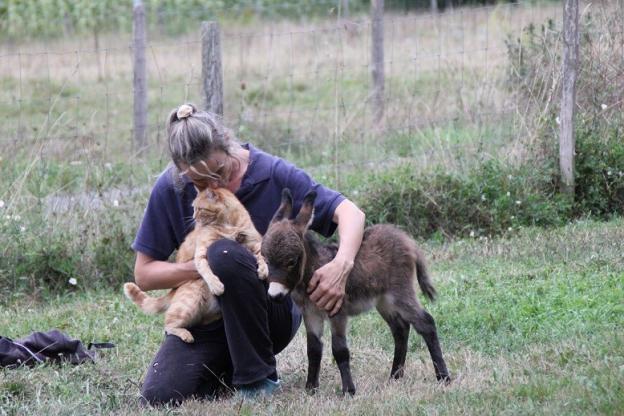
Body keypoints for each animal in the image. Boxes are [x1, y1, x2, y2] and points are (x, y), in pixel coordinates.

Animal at [123, 187, 266, 342]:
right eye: (193, 208)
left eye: (200, 208)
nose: (193, 217)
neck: (228, 224)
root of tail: (173, 291)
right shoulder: (202, 252)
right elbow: (205, 269)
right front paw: (216, 285)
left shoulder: (255, 244)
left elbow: (263, 256)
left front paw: (264, 271)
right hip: (189, 303)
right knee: (167, 325)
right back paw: (185, 335)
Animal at [260, 190, 450, 394]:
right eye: (265, 259)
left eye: (292, 261)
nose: (275, 296)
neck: (313, 272)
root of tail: (405, 238)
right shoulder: (311, 314)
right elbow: (313, 350)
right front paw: (311, 388)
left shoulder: (337, 312)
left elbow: (340, 350)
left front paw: (348, 390)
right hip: (384, 301)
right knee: (400, 329)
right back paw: (395, 376)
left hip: (400, 294)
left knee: (425, 323)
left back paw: (443, 377)